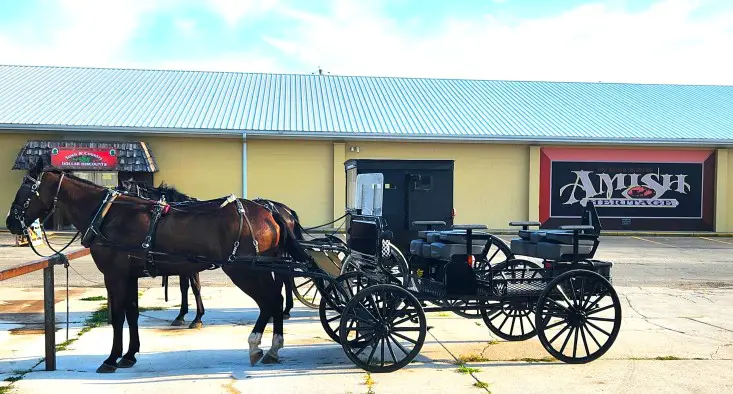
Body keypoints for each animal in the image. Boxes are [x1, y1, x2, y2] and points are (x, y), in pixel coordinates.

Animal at [117, 179, 298, 326]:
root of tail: (282, 210)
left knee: (284, 279)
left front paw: (196, 317)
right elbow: (184, 287)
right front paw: (182, 315)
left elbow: (194, 287)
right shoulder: (182, 264)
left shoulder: (189, 264)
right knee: (285, 279)